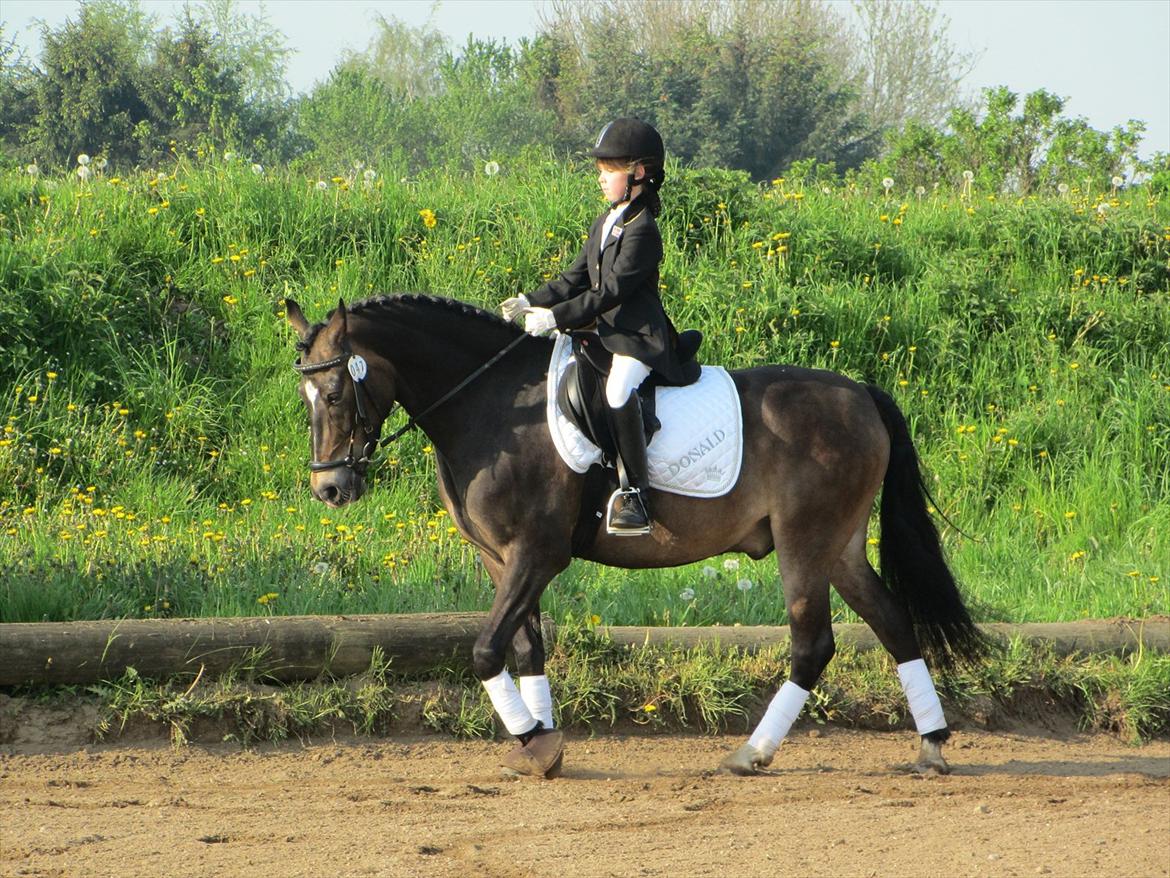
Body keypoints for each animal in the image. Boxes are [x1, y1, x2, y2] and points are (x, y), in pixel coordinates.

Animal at [285, 293, 984, 779]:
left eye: (338, 390)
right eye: (306, 396)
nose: (330, 489)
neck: (492, 407)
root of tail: (861, 393)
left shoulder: (537, 553)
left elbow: (485, 651)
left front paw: (534, 741)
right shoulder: (500, 558)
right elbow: (524, 648)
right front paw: (543, 744)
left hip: (804, 543)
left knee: (813, 644)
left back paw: (751, 754)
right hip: (839, 545)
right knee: (893, 623)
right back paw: (931, 747)